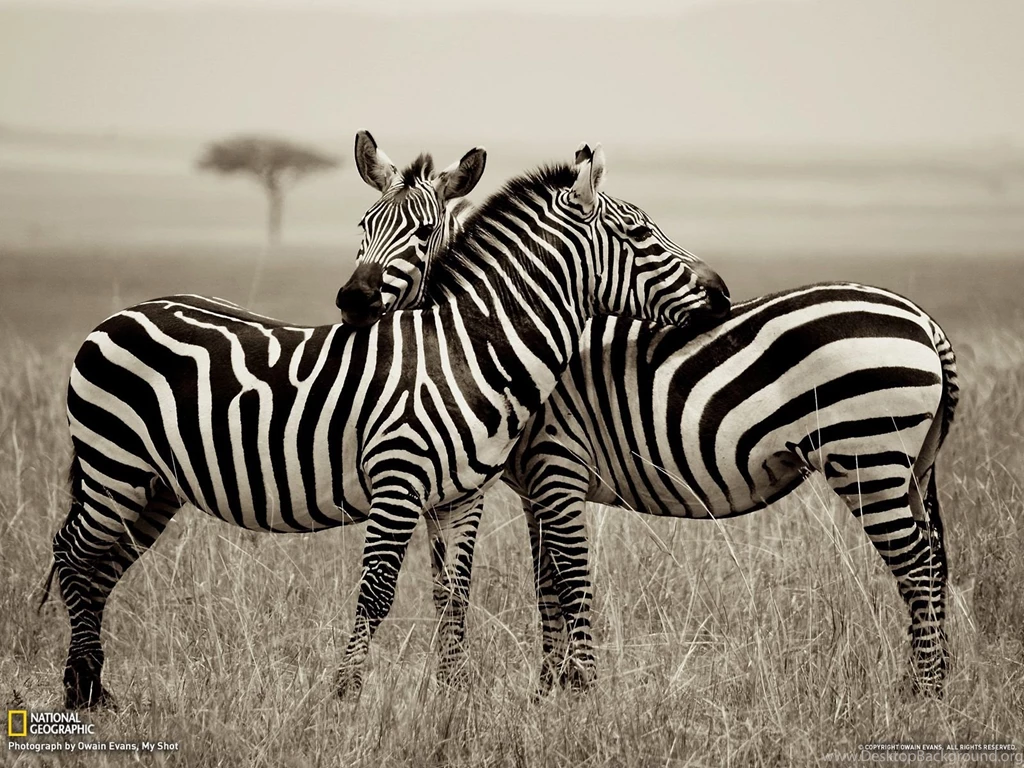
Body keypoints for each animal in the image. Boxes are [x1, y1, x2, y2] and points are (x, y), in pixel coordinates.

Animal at [42, 139, 730, 709]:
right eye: (641, 233)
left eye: (423, 231)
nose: (722, 293)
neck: (466, 352)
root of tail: (125, 313)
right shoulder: (397, 482)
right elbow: (375, 592)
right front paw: (346, 694)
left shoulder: (461, 496)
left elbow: (453, 592)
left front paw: (454, 694)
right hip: (113, 466)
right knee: (73, 553)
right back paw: (82, 688)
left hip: (155, 484)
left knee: (104, 563)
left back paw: (94, 684)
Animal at [340, 136, 959, 697]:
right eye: (361, 228)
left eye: (423, 234)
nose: (352, 301)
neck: (495, 339)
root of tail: (924, 321)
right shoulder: (534, 486)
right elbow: (545, 586)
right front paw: (548, 691)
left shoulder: (557, 461)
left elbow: (565, 581)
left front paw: (575, 692)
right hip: (906, 465)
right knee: (932, 560)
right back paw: (927, 681)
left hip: (866, 456)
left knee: (916, 565)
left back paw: (924, 693)